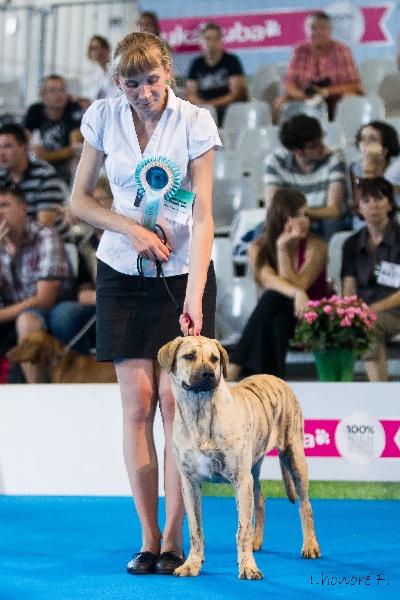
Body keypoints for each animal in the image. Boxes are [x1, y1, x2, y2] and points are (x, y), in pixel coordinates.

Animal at [157, 336, 320, 580]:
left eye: (214, 359)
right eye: (189, 356)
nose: (208, 374)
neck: (200, 413)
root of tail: (275, 378)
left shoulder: (241, 481)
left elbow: (241, 530)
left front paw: (248, 567)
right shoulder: (190, 483)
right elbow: (196, 529)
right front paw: (192, 563)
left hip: (294, 457)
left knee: (305, 506)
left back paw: (310, 545)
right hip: (254, 467)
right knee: (260, 500)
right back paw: (256, 541)